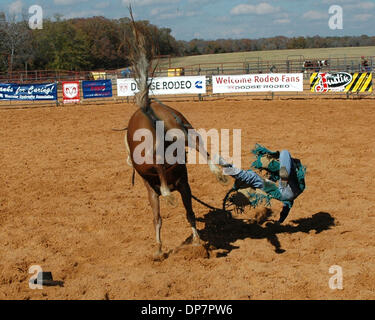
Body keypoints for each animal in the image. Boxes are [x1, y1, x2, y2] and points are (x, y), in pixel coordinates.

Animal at [125, 15, 228, 260]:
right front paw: (195, 242)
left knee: (159, 162)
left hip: (154, 152)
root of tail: (147, 108)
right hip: (182, 128)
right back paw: (218, 173)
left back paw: (169, 194)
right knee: (200, 145)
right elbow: (186, 213)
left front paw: (159, 249)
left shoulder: (153, 187)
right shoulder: (184, 185)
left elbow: (158, 218)